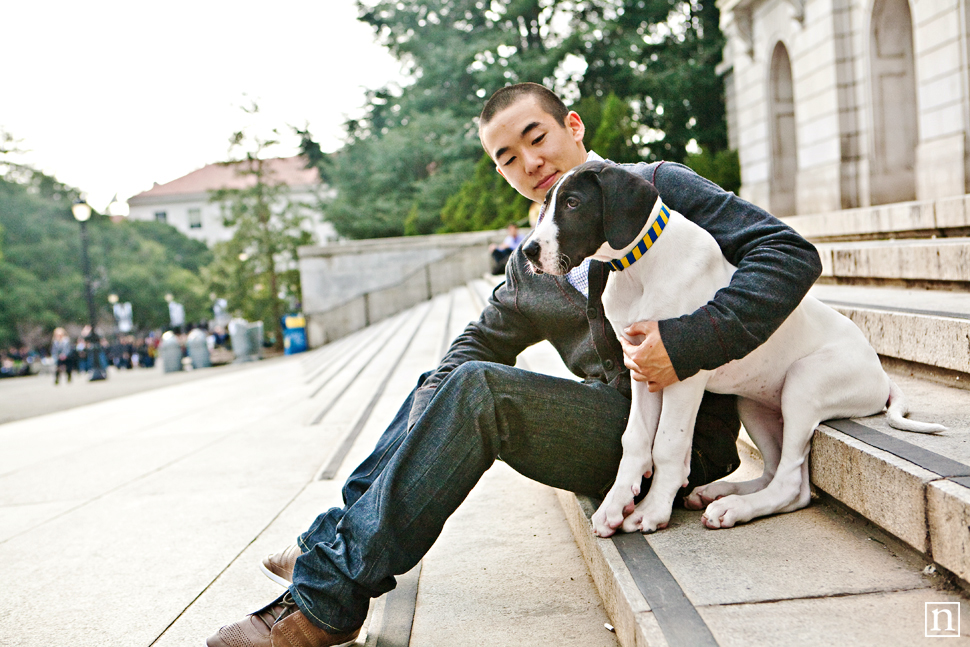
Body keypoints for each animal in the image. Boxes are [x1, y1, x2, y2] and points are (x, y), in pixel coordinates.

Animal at [520, 162, 936, 536]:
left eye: (573, 203)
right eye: (545, 204)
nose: (527, 250)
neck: (639, 268)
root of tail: (881, 374)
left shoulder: (678, 370)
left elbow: (667, 443)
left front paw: (652, 510)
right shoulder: (640, 366)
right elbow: (635, 438)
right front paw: (614, 504)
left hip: (805, 382)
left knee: (790, 483)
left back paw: (734, 508)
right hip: (755, 404)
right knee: (782, 476)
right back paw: (720, 495)